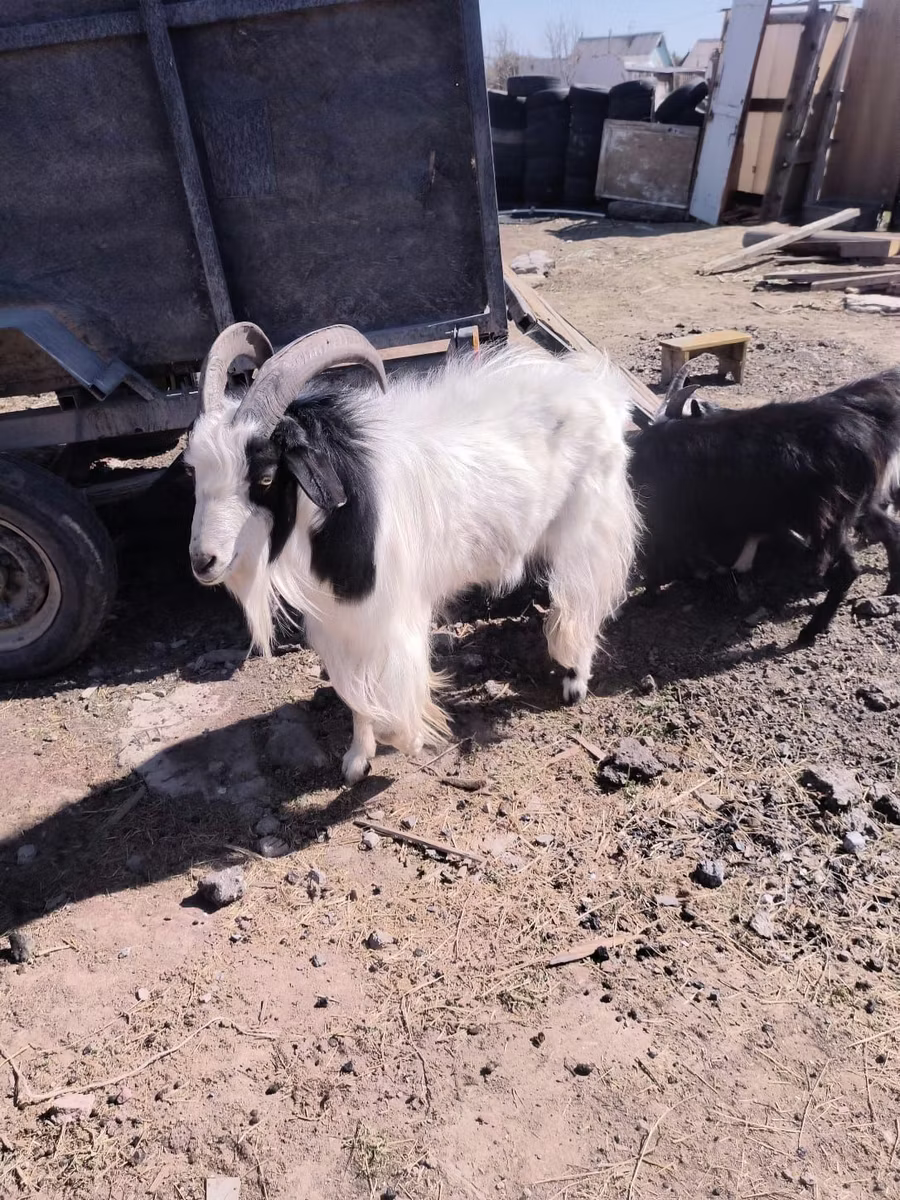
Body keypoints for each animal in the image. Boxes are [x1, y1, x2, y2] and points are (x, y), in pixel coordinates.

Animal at [185, 322, 638, 783]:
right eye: (192, 471)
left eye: (264, 477)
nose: (203, 562)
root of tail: (600, 386)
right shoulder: (340, 623)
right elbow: (353, 693)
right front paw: (356, 759)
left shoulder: (395, 616)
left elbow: (394, 697)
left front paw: (410, 738)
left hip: (588, 527)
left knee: (583, 598)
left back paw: (574, 681)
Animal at [629, 365, 900, 643]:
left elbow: (657, 554)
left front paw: (650, 594)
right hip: (847, 511)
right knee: (886, 533)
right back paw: (890, 589)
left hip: (828, 517)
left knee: (848, 568)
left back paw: (810, 631)